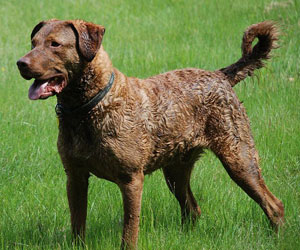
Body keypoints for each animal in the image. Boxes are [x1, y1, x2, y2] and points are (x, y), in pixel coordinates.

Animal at [16, 19, 284, 248]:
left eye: (55, 44)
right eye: (33, 42)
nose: (21, 63)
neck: (89, 109)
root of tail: (220, 76)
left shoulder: (131, 179)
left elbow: (129, 231)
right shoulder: (75, 176)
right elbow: (77, 226)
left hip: (239, 157)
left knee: (274, 205)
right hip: (176, 170)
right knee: (192, 209)